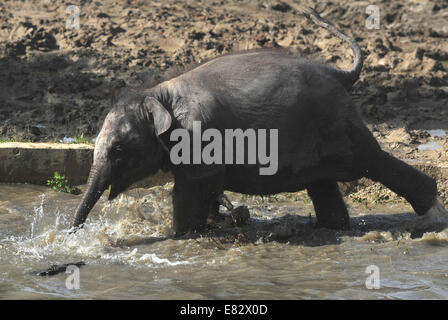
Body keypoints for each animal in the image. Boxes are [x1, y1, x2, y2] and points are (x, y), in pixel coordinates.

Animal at [72, 6, 446, 235]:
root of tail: (338, 73)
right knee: (324, 185)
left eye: (119, 150)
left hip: (339, 123)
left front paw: (181, 235)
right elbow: (206, 187)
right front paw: (218, 220)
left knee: (373, 161)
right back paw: (332, 229)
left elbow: (194, 187)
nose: (73, 232)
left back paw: (432, 217)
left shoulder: (199, 137)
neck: (157, 92)